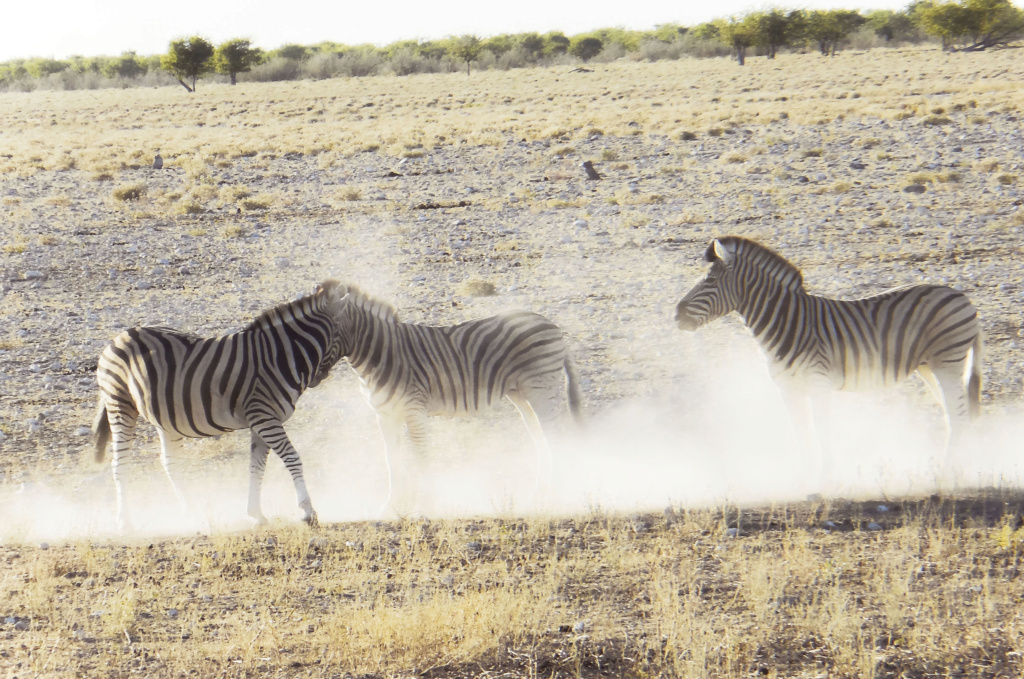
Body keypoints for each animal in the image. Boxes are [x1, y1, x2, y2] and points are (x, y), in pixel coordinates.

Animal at [92, 280, 348, 532]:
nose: (318, 378)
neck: (280, 355)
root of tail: (118, 338)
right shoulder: (264, 416)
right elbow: (291, 457)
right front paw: (307, 512)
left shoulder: (262, 420)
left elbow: (257, 466)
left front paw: (256, 514)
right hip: (120, 404)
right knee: (120, 463)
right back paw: (125, 522)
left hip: (163, 416)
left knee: (169, 462)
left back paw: (190, 514)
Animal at [331, 284, 581, 516]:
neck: (381, 353)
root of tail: (552, 325)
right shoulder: (386, 414)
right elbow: (391, 460)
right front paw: (390, 510)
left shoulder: (413, 407)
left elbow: (418, 455)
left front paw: (425, 507)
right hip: (521, 395)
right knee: (541, 439)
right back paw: (537, 497)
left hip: (539, 388)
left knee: (556, 436)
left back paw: (555, 497)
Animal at [675, 237, 978, 489]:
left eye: (710, 281)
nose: (676, 314)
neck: (788, 322)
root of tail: (961, 295)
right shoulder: (788, 389)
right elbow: (800, 433)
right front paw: (803, 480)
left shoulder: (818, 383)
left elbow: (821, 431)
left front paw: (824, 481)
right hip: (929, 367)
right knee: (953, 415)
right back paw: (956, 472)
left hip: (947, 363)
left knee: (960, 416)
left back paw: (949, 475)